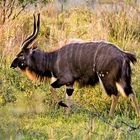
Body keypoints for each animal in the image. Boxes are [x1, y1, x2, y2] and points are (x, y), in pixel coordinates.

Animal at [10, 13, 139, 117]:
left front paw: (63, 106)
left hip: (106, 78)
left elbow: (51, 87)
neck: (53, 58)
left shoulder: (65, 79)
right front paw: (68, 113)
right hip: (122, 79)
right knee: (131, 93)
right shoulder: (70, 83)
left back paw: (110, 116)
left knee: (115, 94)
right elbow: (69, 96)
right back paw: (137, 117)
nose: (12, 64)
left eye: (21, 54)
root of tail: (124, 54)